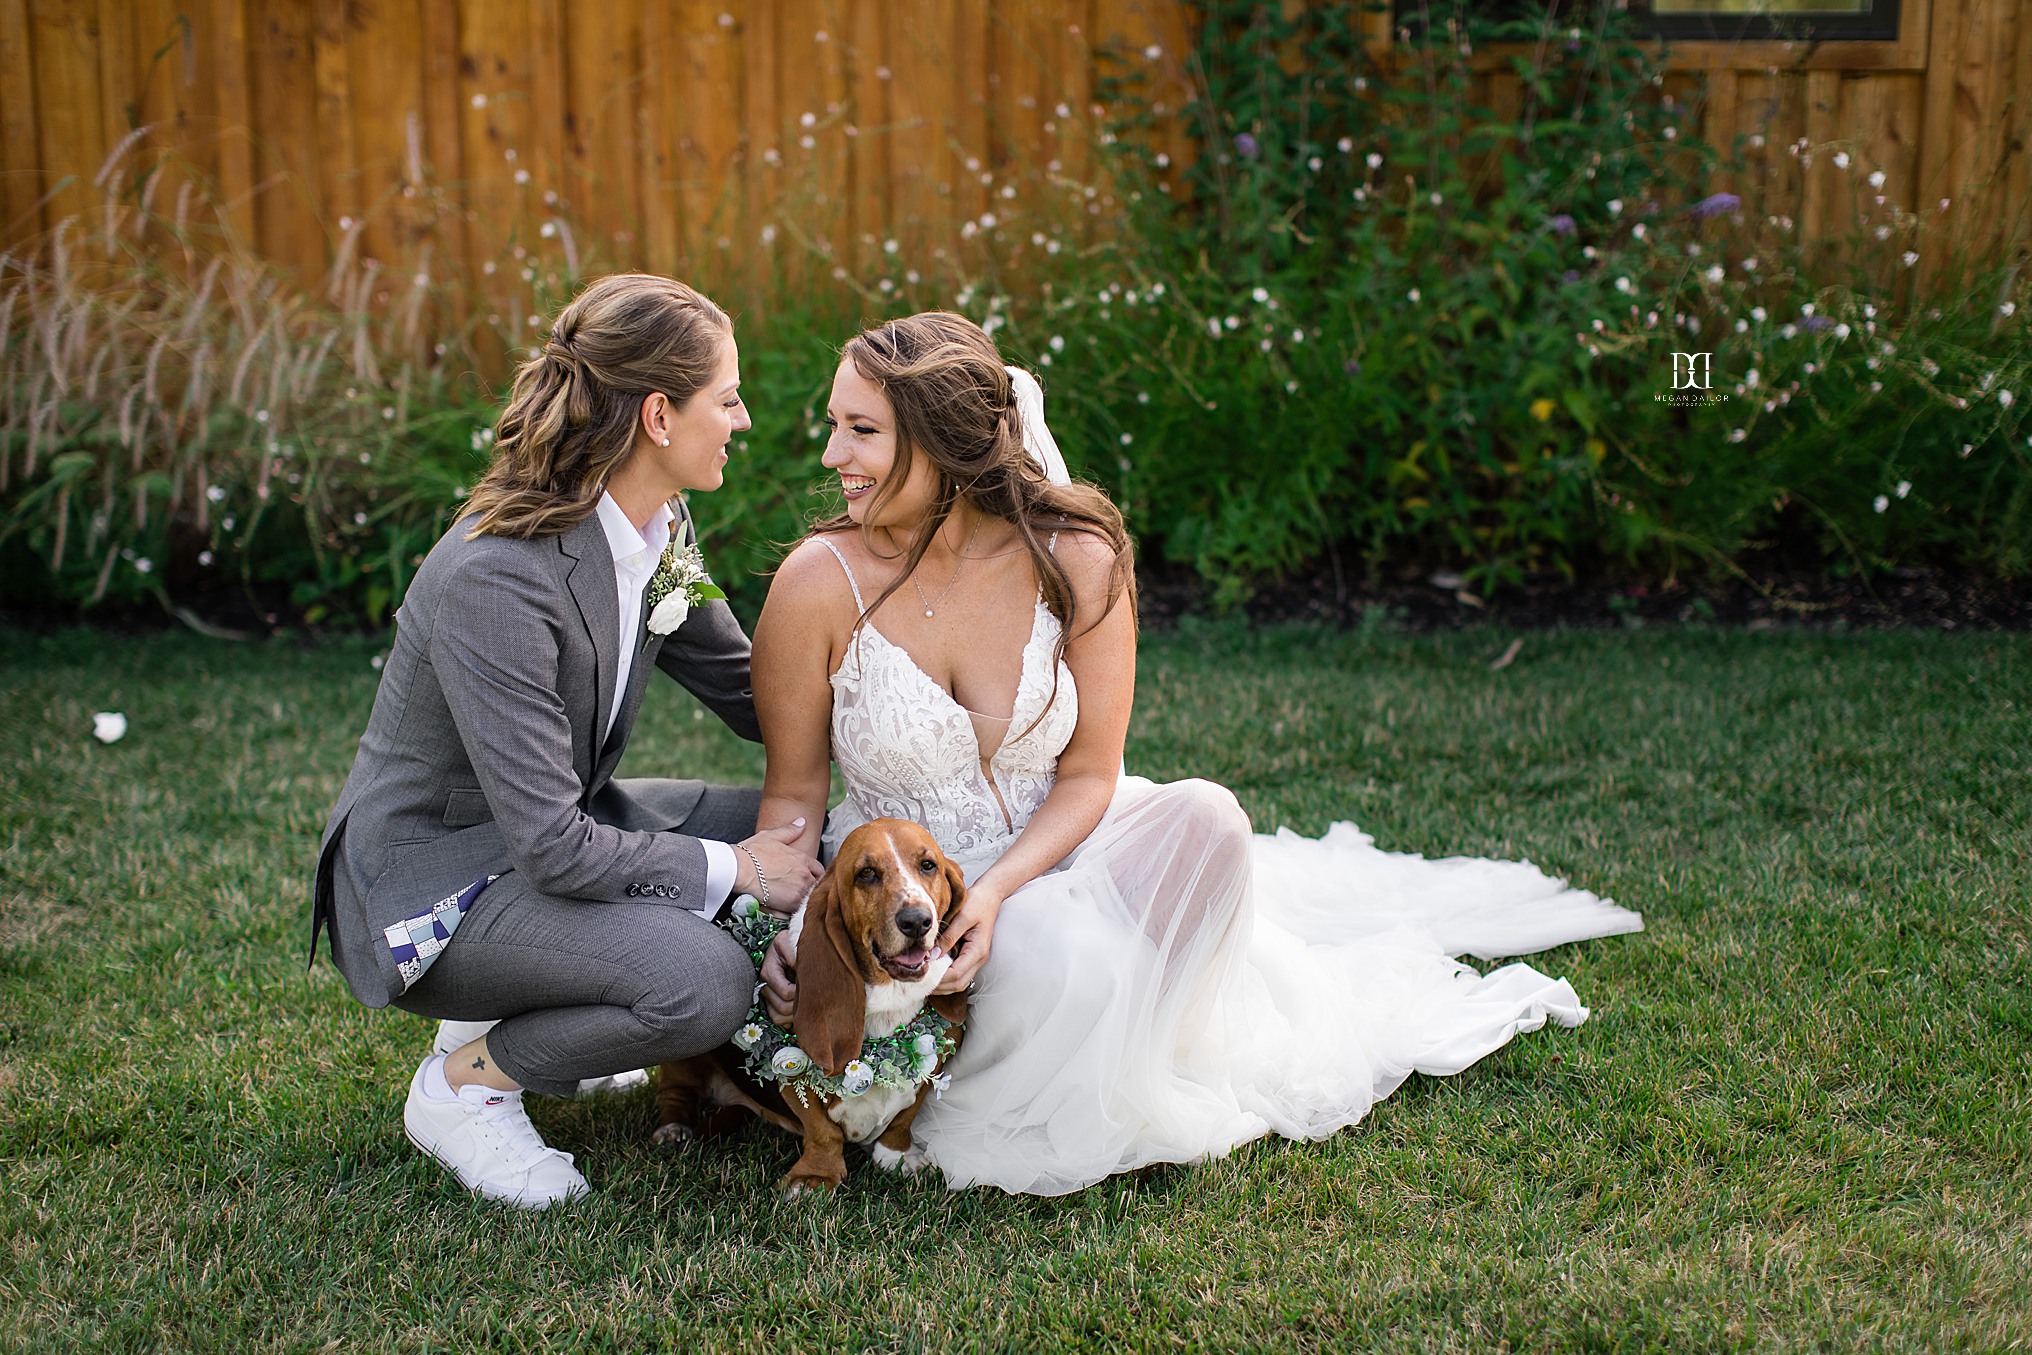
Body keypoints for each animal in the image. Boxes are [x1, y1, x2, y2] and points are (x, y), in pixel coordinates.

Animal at [650, 820, 967, 1194]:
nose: (917, 921)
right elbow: (822, 1131)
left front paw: (898, 1156)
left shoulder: (935, 1064)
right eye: (866, 874)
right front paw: (815, 1175)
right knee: (674, 1093)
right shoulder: (789, 1068)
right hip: (685, 1053)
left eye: (928, 865)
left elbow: (904, 1116)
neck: (890, 996)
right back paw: (673, 1129)